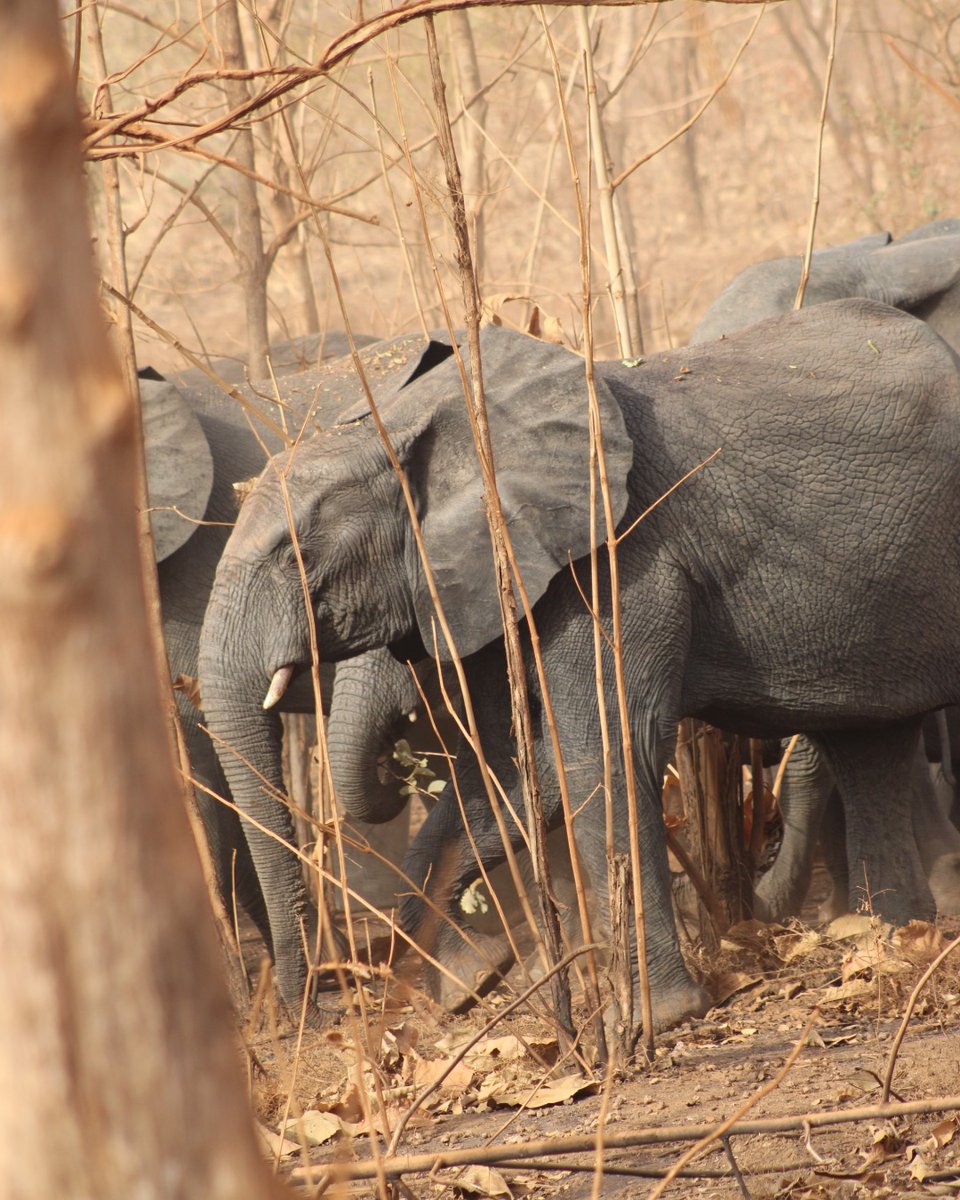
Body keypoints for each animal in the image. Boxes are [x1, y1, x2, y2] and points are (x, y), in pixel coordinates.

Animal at [198, 300, 960, 1042]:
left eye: (297, 555)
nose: (318, 1013)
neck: (419, 420)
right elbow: (513, 774)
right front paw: (448, 996)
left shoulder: (618, 559)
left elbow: (607, 752)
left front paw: (656, 1022)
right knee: (871, 746)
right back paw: (895, 941)